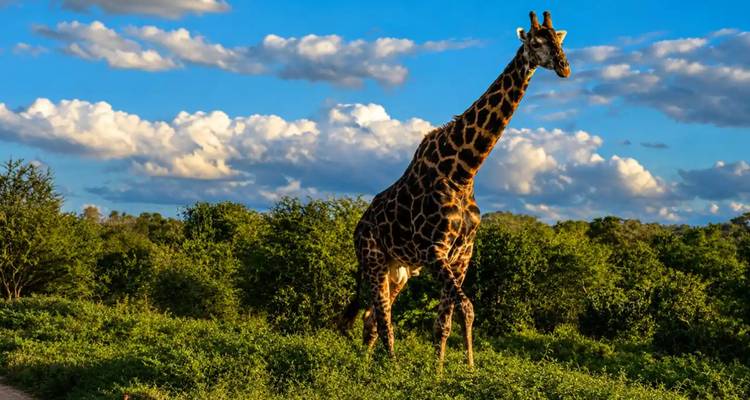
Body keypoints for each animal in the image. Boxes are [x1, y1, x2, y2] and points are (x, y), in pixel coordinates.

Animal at [340, 11, 570, 368]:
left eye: (559, 41)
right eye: (535, 42)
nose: (564, 67)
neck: (464, 171)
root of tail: (358, 226)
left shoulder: (461, 254)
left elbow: (447, 320)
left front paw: (451, 372)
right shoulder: (434, 250)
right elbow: (466, 307)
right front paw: (453, 371)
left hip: (399, 271)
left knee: (371, 316)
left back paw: (366, 365)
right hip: (374, 259)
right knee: (382, 316)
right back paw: (390, 368)